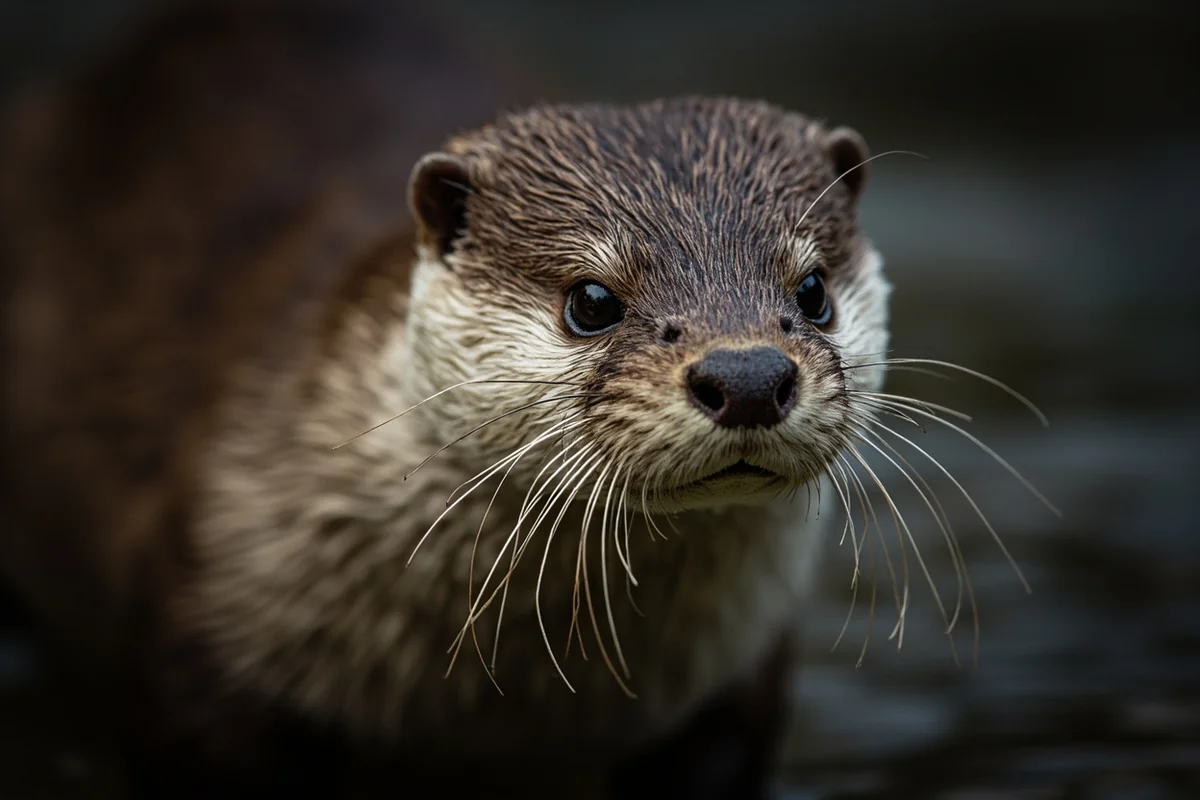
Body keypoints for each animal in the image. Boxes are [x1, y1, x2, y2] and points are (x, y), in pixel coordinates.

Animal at [2, 2, 910, 798]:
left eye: (812, 289)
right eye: (591, 300)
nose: (749, 376)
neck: (499, 712)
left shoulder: (731, 692)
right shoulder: (209, 628)